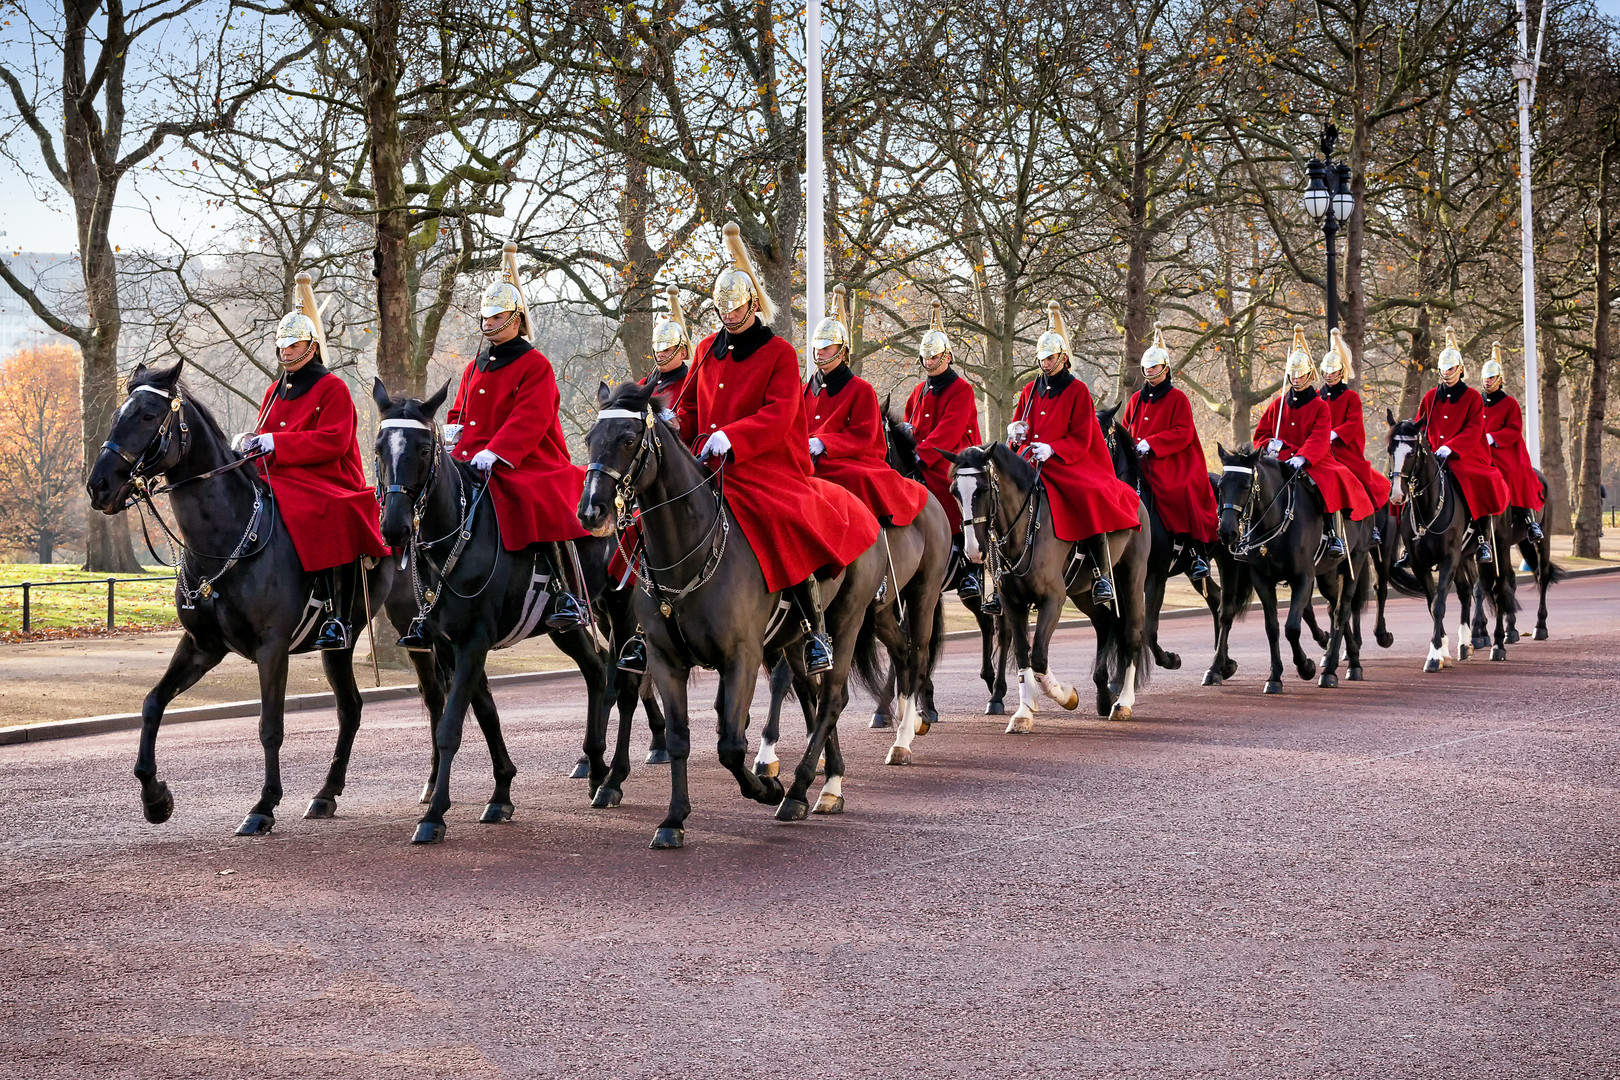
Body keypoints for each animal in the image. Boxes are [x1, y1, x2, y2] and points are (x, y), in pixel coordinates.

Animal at [85, 362, 398, 835]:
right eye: (120, 411)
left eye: (147, 415)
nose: (98, 486)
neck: (227, 539)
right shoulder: (201, 646)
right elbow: (153, 703)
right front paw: (155, 798)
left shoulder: (272, 648)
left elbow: (270, 725)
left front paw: (263, 805)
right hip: (338, 649)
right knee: (351, 708)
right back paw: (326, 795)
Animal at [370, 380, 641, 841]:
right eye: (377, 448)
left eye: (423, 449)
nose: (394, 528)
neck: (454, 537)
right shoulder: (447, 644)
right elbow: (484, 713)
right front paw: (500, 793)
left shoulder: (473, 641)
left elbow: (451, 725)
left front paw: (434, 816)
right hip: (566, 626)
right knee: (596, 670)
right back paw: (594, 766)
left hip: (620, 611)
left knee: (624, 682)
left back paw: (613, 780)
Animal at [579, 380, 887, 841]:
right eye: (589, 439)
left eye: (629, 439)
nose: (591, 510)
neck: (688, 551)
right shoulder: (664, 659)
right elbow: (679, 737)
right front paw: (673, 819)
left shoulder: (742, 657)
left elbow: (730, 744)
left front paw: (765, 787)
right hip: (793, 640)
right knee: (815, 696)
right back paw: (825, 781)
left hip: (846, 621)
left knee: (833, 696)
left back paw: (798, 790)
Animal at [1218, 446, 1367, 693]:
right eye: (1220, 485)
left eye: (1246, 486)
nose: (1226, 532)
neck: (1275, 518)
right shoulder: (1262, 579)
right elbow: (1272, 628)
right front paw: (1274, 677)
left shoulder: (1303, 577)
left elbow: (1292, 628)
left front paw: (1305, 666)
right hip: (1327, 575)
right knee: (1334, 607)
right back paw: (1350, 658)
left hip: (1354, 561)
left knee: (1342, 611)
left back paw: (1330, 671)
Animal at [1380, 417, 1516, 676]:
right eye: (1390, 449)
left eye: (1411, 452)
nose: (1396, 496)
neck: (1427, 508)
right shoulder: (1420, 564)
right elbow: (1433, 604)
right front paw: (1442, 651)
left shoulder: (1448, 559)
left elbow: (1440, 603)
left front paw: (1434, 656)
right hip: (1465, 557)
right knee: (1468, 591)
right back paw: (1465, 643)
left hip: (1499, 549)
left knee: (1500, 588)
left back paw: (1498, 645)